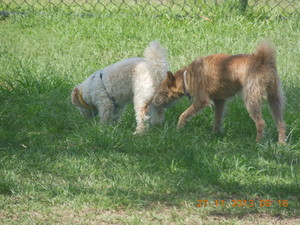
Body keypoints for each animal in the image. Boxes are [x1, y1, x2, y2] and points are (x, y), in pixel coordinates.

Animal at [152, 41, 286, 144]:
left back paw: (257, 143)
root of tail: (262, 59)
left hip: (251, 101)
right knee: (281, 124)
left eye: (161, 91)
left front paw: (178, 129)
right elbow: (217, 119)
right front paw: (215, 135)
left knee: (261, 123)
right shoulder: (219, 101)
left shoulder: (202, 100)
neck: (187, 76)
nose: (153, 102)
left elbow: (183, 115)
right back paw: (281, 144)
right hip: (274, 99)